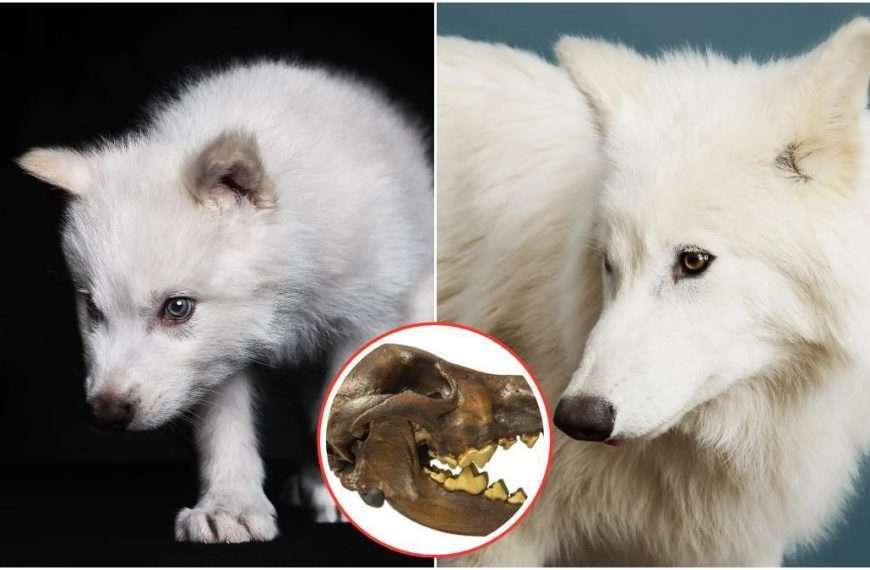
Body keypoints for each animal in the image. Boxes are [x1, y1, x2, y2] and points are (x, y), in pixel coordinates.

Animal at [18, 60, 433, 543]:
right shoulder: (218, 353)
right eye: (93, 310)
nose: (105, 413)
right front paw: (230, 506)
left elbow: (345, 402)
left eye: (177, 308)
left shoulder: (365, 317)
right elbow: (225, 427)